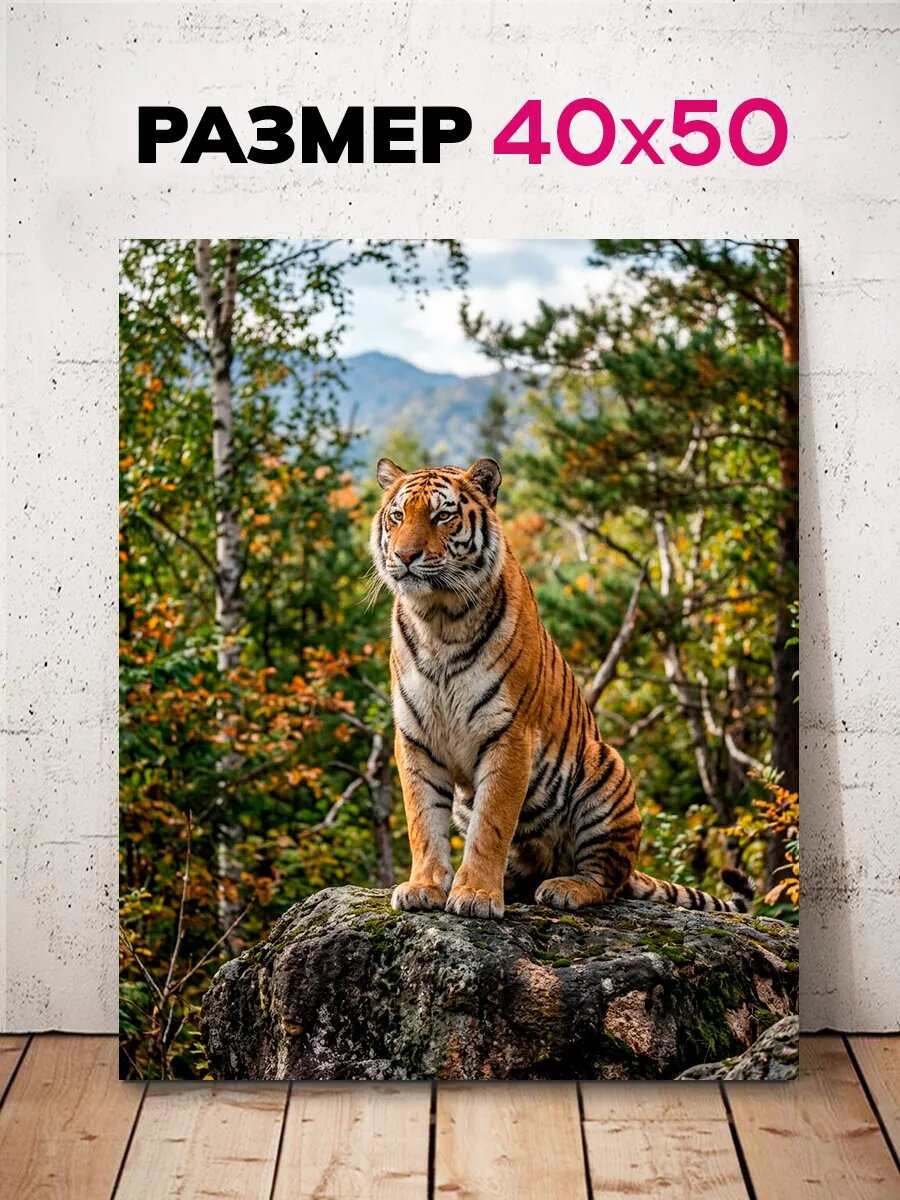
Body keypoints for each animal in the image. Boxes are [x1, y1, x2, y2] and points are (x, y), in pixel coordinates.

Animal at [371, 456, 754, 921]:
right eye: (397, 516)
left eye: (442, 516)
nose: (405, 556)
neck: (438, 618)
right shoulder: (416, 737)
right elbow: (423, 821)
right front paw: (424, 887)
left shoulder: (509, 735)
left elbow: (491, 825)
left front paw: (476, 894)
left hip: (605, 769)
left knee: (607, 879)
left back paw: (564, 888)